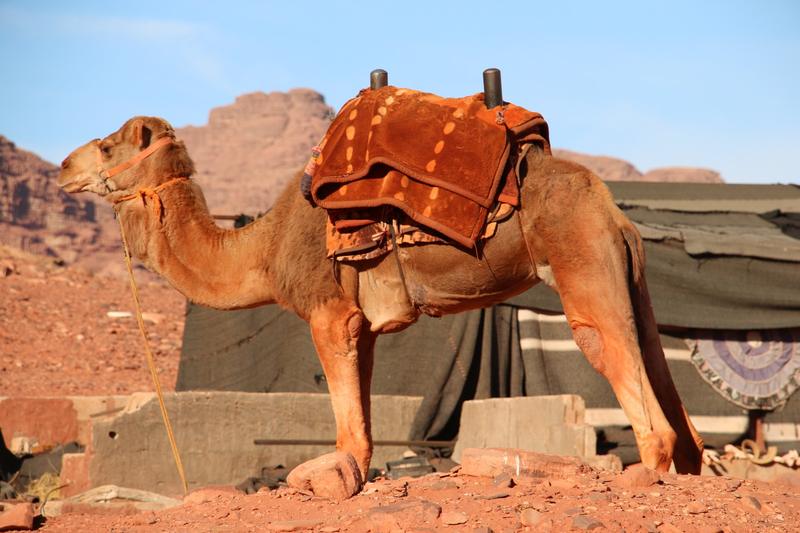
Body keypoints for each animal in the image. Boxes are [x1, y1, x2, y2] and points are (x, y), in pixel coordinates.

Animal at [58, 115, 705, 485]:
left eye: (110, 146)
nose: (64, 166)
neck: (263, 248)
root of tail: (615, 213)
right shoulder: (359, 327)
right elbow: (361, 423)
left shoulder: (327, 311)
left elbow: (347, 429)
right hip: (630, 279)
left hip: (582, 261)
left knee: (621, 372)